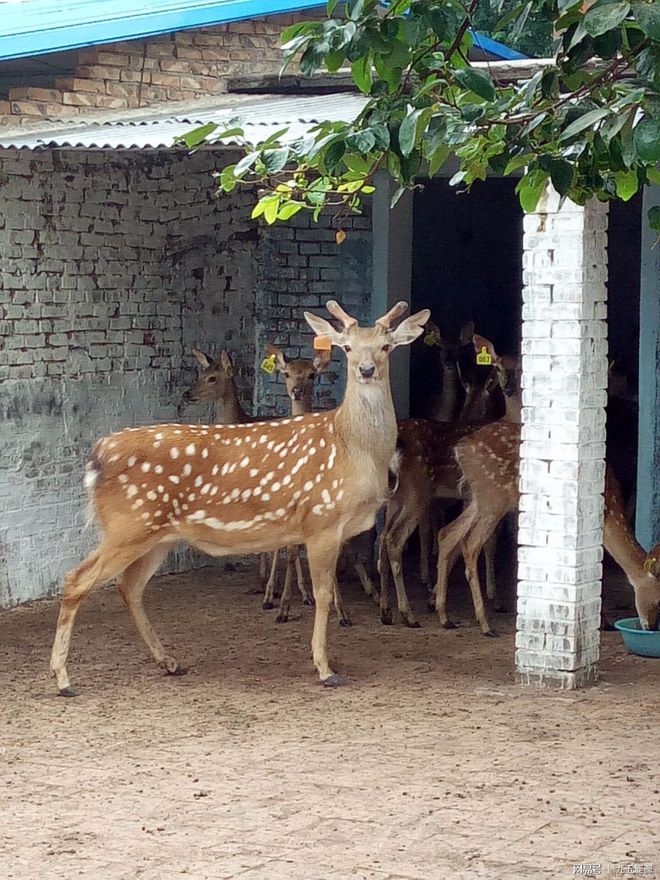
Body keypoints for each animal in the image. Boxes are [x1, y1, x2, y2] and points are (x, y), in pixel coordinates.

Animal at [51, 302, 428, 696]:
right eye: (348, 347)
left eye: (386, 346)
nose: (366, 370)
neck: (353, 449)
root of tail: (96, 457)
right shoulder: (321, 518)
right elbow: (322, 594)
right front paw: (325, 668)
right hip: (127, 524)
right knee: (76, 579)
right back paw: (64, 679)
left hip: (157, 534)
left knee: (129, 586)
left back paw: (169, 662)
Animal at [434, 422, 660, 636]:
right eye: (659, 600)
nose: (651, 627)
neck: (608, 511)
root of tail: (462, 448)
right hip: (493, 497)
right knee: (470, 543)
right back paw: (485, 625)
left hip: (479, 498)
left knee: (447, 533)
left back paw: (444, 616)